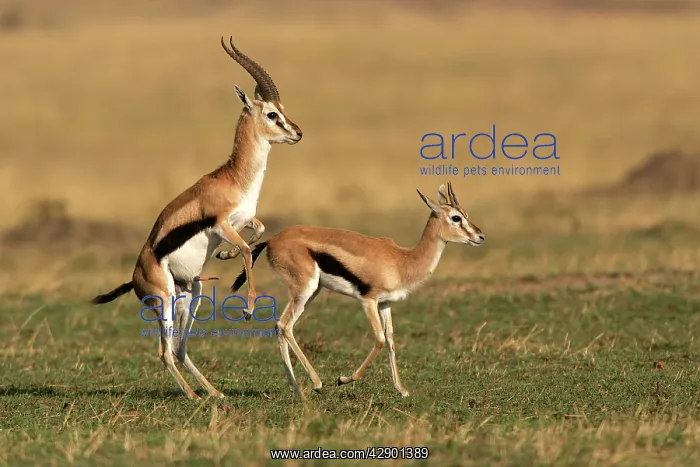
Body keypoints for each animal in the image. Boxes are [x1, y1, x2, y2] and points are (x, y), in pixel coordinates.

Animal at [89, 37, 303, 401]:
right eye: (272, 114)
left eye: (283, 109)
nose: (298, 133)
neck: (232, 178)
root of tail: (135, 276)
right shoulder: (221, 223)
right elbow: (247, 250)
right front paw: (248, 308)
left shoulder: (242, 219)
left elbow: (258, 231)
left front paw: (224, 255)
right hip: (165, 301)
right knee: (164, 352)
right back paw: (192, 395)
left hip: (191, 293)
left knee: (179, 348)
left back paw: (214, 394)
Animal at [225, 183, 484, 399]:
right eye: (456, 218)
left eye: (466, 214)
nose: (480, 236)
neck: (402, 261)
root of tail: (273, 240)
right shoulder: (368, 300)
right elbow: (379, 339)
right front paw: (343, 379)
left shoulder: (385, 303)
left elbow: (390, 339)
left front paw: (401, 389)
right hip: (304, 290)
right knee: (284, 325)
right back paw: (317, 383)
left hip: (312, 292)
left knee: (281, 327)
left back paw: (297, 389)